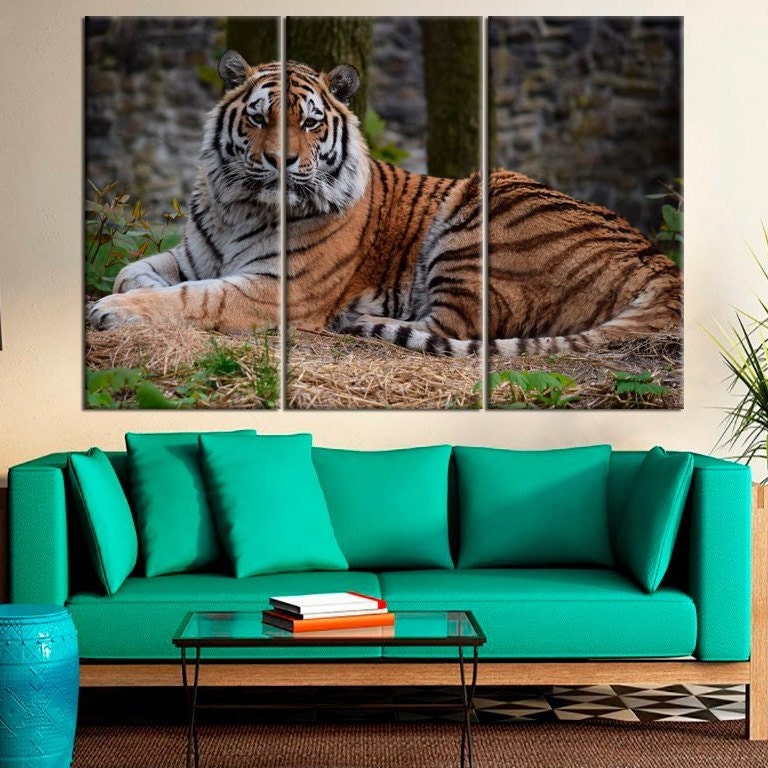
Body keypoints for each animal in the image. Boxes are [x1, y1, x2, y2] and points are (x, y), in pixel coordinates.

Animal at [88, 51, 682, 357]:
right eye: (259, 117)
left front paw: (115, 311)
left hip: (483, 209)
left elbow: (197, 298)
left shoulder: (278, 287)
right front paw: (131, 292)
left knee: (454, 328)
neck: (242, 206)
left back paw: (363, 318)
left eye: (310, 122)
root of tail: (663, 266)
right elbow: (133, 271)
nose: (280, 161)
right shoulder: (194, 255)